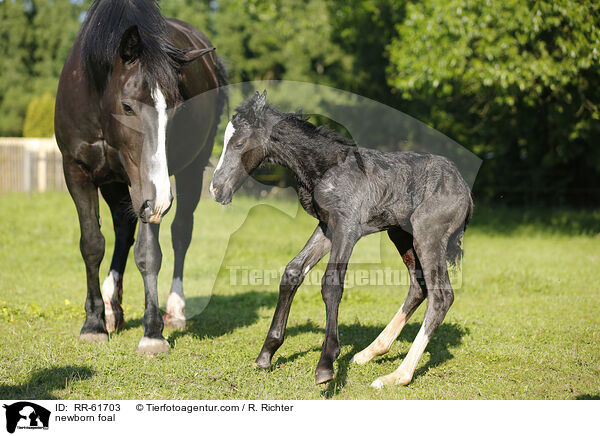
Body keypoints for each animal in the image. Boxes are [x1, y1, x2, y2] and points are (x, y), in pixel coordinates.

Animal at [54, 0, 227, 352]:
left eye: (174, 107)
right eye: (128, 106)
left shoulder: (149, 189)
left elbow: (149, 253)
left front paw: (152, 333)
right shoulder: (77, 171)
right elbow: (92, 243)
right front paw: (93, 323)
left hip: (189, 171)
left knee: (180, 233)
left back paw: (174, 309)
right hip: (117, 183)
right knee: (123, 229)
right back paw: (111, 308)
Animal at [211, 91, 474, 384]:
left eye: (239, 143)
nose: (216, 189)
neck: (327, 168)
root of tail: (464, 187)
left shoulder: (347, 229)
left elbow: (332, 284)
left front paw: (326, 363)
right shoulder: (327, 227)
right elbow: (293, 272)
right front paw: (266, 354)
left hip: (427, 236)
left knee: (441, 296)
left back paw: (398, 375)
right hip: (401, 236)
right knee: (419, 287)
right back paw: (369, 352)